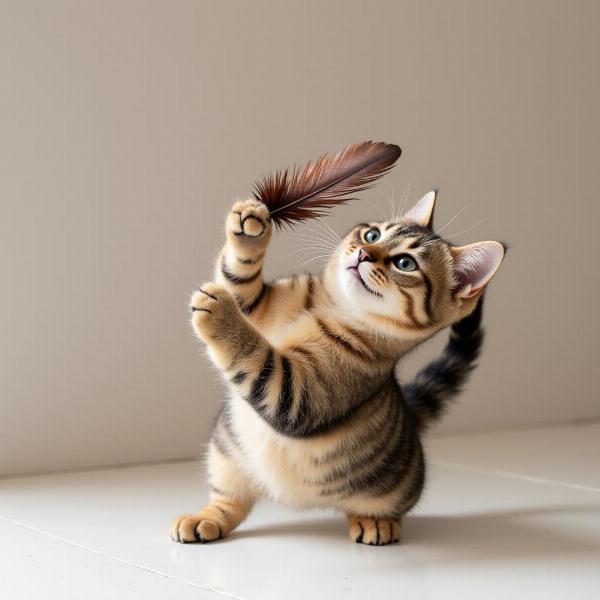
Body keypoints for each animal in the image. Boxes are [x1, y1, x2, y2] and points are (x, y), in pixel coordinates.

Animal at [170, 190, 506, 548]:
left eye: (405, 263)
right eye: (372, 235)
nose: (363, 253)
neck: (328, 307)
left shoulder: (298, 396)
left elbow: (257, 358)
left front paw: (220, 313)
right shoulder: (257, 306)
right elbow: (238, 281)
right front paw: (250, 224)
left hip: (391, 490)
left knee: (383, 508)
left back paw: (376, 523)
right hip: (226, 455)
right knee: (230, 502)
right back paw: (204, 519)